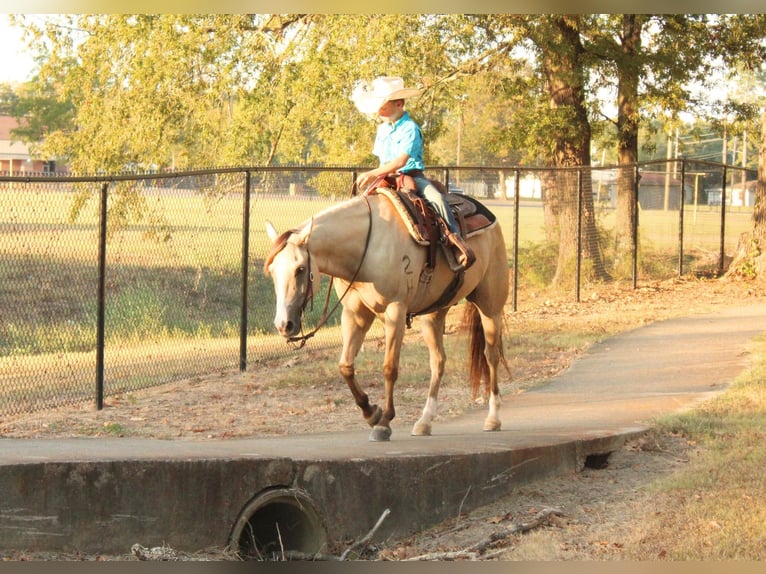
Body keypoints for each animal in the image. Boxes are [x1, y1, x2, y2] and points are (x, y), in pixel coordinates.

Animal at [264, 190, 510, 441]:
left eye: (300, 269)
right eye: (272, 270)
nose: (284, 324)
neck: (366, 247)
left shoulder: (396, 310)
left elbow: (389, 368)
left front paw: (384, 422)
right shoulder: (354, 313)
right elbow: (345, 365)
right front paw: (371, 412)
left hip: (490, 307)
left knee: (491, 356)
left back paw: (493, 418)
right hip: (434, 314)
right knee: (438, 361)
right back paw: (424, 422)